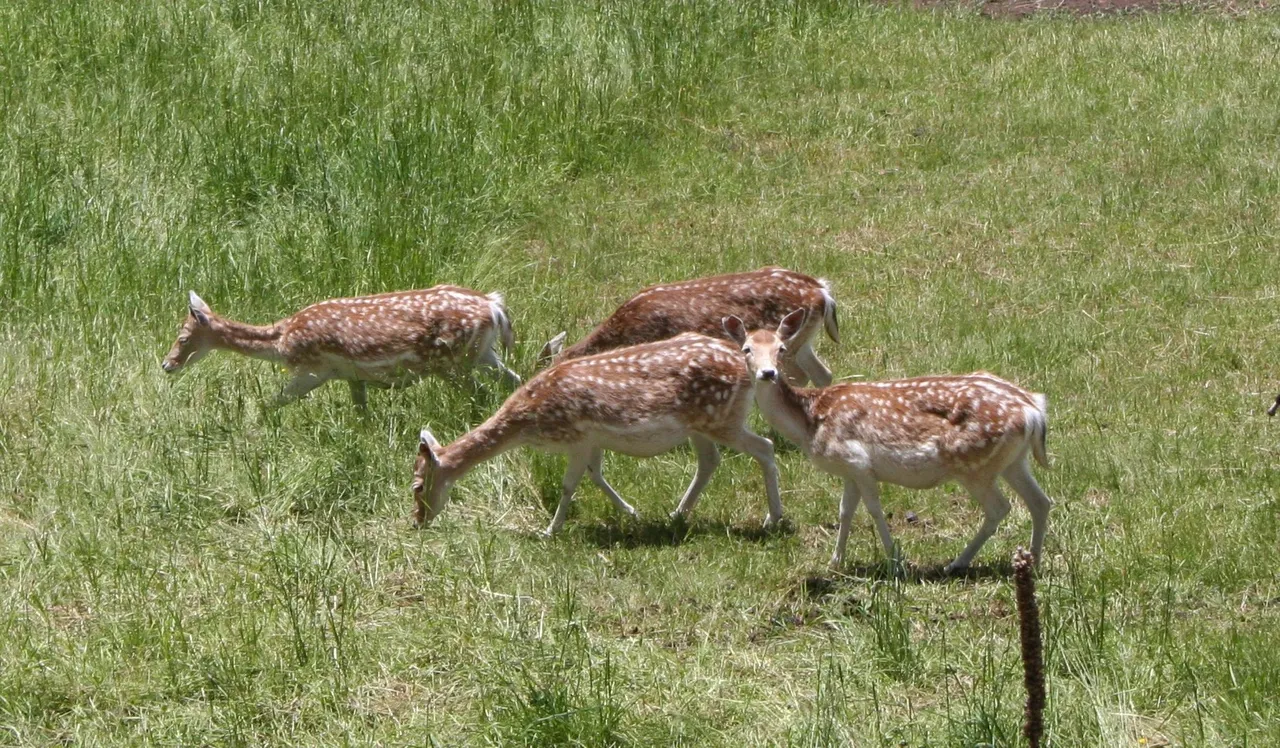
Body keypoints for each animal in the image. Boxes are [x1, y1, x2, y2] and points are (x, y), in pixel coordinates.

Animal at [163, 287, 520, 407]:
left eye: (183, 338)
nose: (167, 364)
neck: (280, 342)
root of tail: (494, 307)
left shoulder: (312, 370)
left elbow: (270, 404)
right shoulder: (351, 376)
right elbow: (360, 413)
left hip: (452, 362)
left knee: (481, 394)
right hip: (484, 354)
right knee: (513, 380)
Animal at [413, 333, 783, 536]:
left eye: (416, 485)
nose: (417, 521)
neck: (528, 422)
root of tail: (748, 368)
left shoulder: (576, 436)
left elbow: (569, 485)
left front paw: (550, 530)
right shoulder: (592, 440)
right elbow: (595, 474)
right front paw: (631, 512)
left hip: (723, 419)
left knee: (764, 447)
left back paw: (773, 518)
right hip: (701, 424)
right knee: (709, 461)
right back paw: (676, 514)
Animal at [725, 309, 1053, 573]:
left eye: (781, 348)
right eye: (746, 349)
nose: (768, 373)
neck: (810, 421)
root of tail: (1033, 410)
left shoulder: (857, 460)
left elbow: (873, 508)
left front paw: (895, 560)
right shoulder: (848, 470)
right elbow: (845, 511)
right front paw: (835, 562)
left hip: (975, 465)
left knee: (1000, 508)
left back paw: (957, 563)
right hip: (1013, 461)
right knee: (1040, 501)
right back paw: (1033, 562)